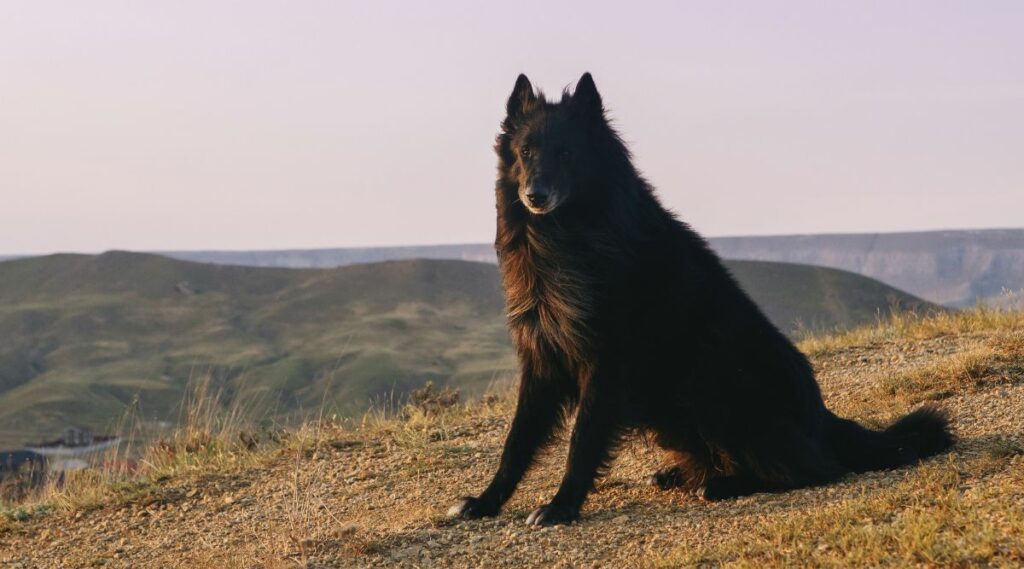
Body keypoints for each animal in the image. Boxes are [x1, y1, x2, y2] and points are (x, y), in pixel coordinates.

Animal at [448, 73, 950, 528]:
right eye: (526, 152)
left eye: (567, 153)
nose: (535, 195)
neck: (562, 237)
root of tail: (822, 418)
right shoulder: (541, 356)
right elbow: (516, 442)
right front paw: (486, 502)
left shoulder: (606, 363)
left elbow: (583, 440)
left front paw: (561, 506)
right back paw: (685, 474)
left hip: (711, 383)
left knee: (811, 469)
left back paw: (724, 483)